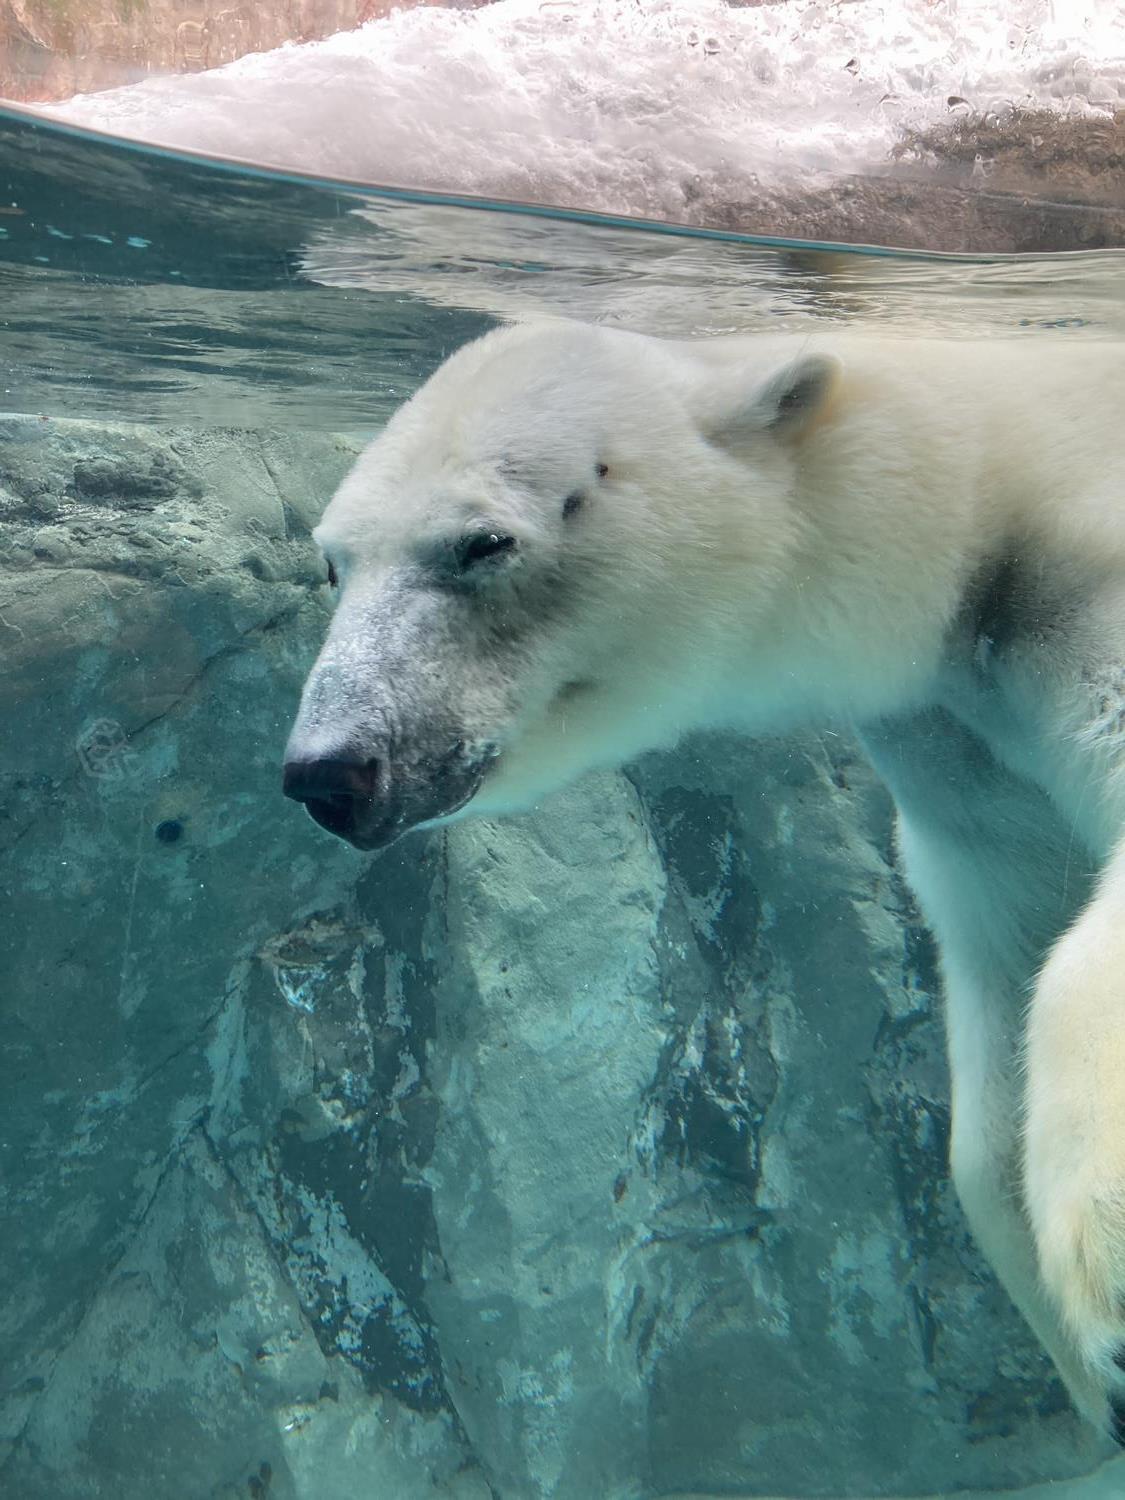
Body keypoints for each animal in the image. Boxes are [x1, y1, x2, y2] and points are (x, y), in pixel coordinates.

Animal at [283, 322, 1125, 1434]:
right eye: (333, 561)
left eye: (481, 544)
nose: (331, 771)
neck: (984, 500)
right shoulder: (960, 758)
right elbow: (1010, 951)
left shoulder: (1076, 604)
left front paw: (1105, 1282)